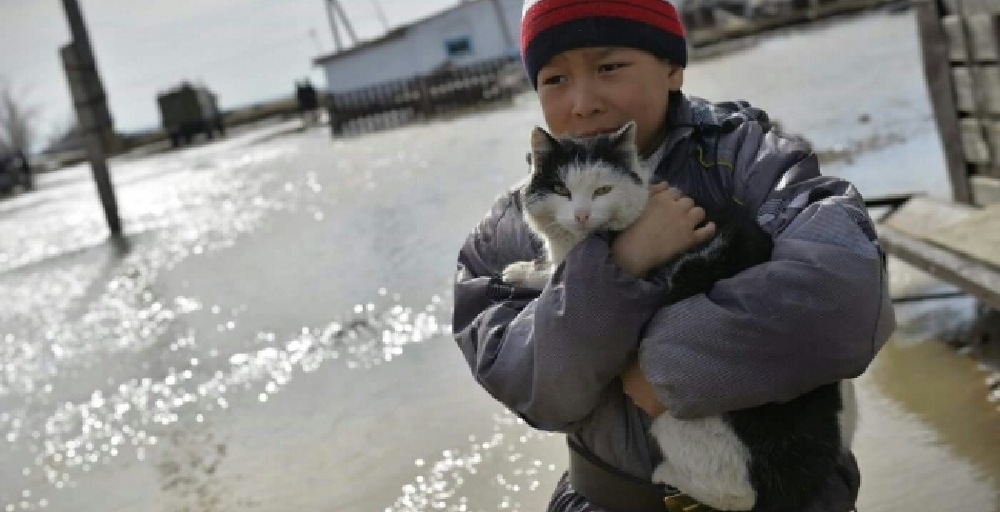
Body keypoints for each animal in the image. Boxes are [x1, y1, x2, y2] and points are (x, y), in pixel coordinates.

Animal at [504, 123, 856, 512]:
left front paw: (532, 273)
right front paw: (521, 271)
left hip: (680, 423)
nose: (581, 215)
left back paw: (667, 475)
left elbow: (559, 274)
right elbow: (554, 270)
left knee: (738, 495)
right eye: (561, 190)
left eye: (602, 190)